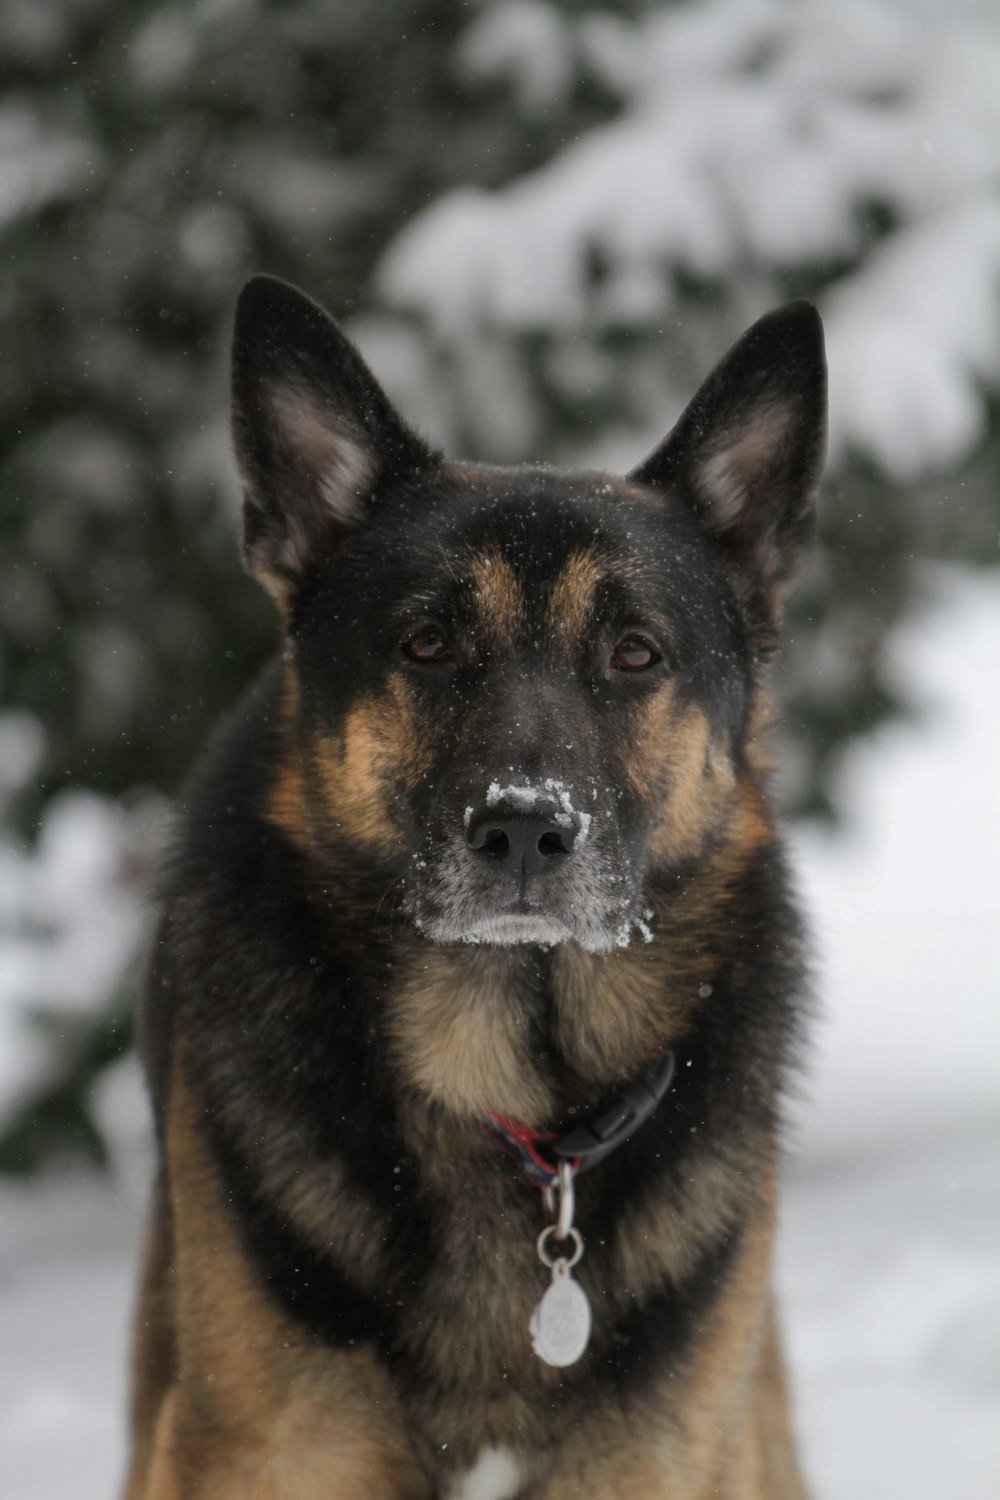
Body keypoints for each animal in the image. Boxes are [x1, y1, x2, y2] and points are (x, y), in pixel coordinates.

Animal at [125, 273, 827, 1500]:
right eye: (427, 643)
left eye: (635, 653)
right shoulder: (257, 1451)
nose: (524, 830)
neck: (508, 1088)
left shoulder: (658, 1452)